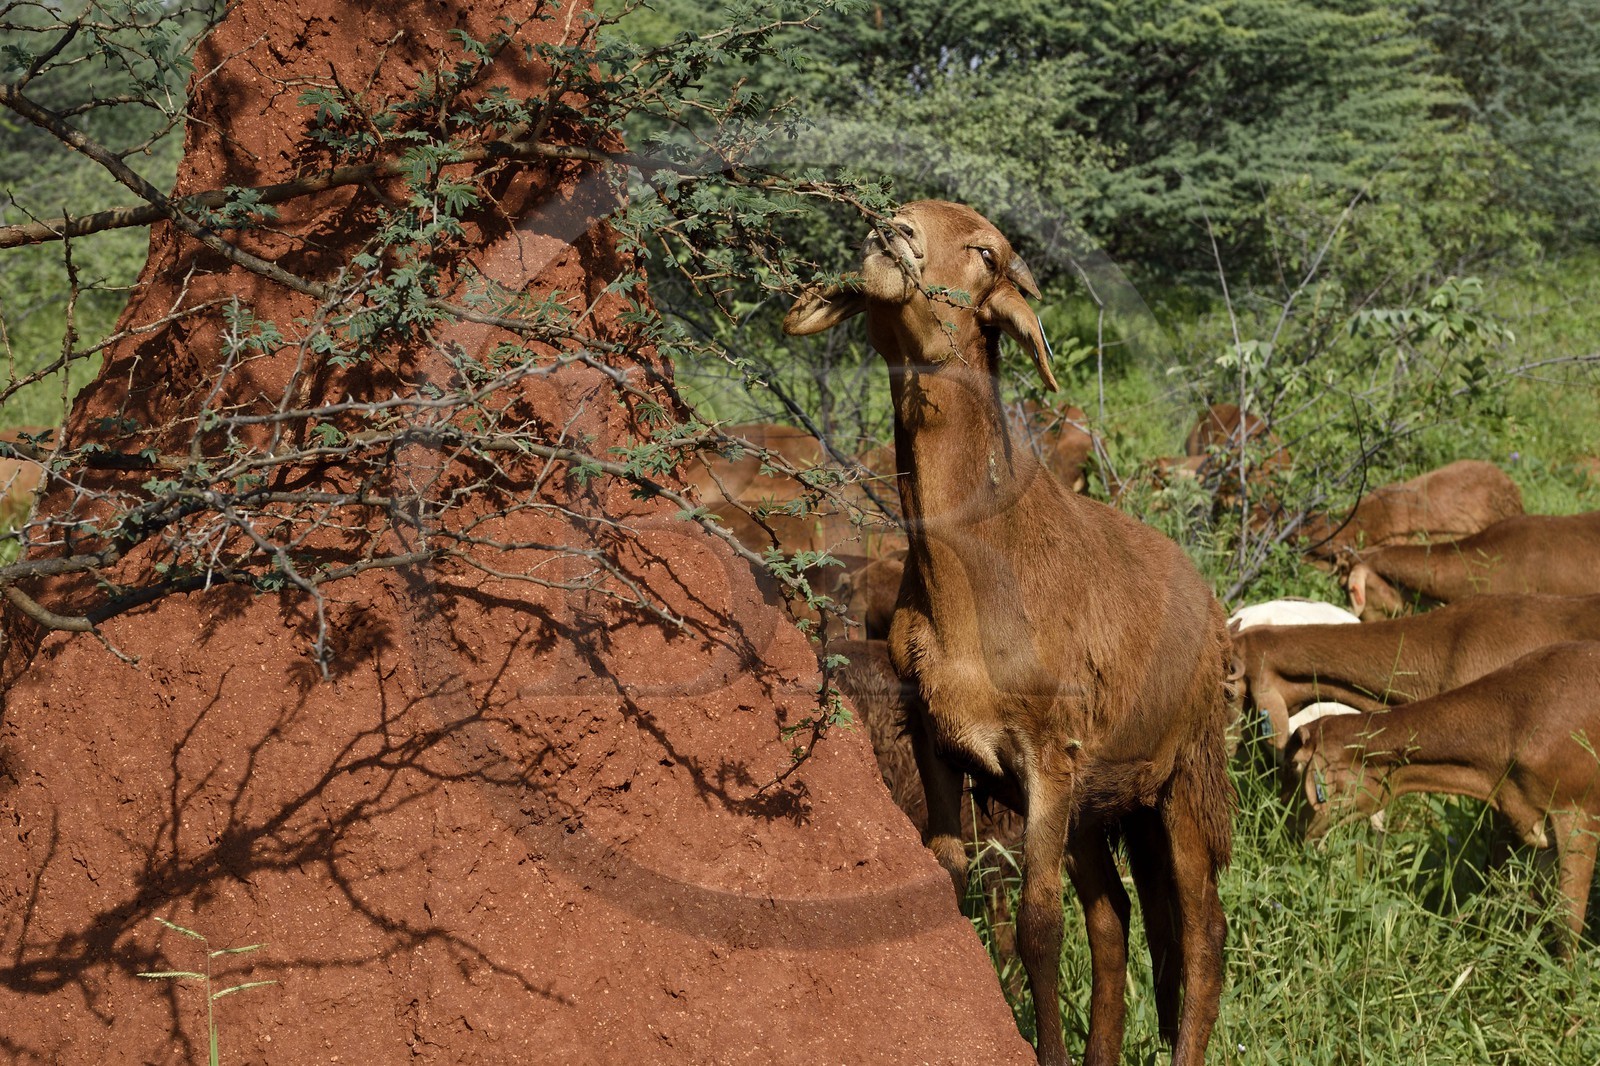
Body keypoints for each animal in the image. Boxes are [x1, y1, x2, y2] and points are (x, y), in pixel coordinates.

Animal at [785, 200, 1233, 1066]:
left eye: (988, 254)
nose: (891, 234)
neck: (976, 575)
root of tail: (1204, 590)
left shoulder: (1047, 763)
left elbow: (1037, 929)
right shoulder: (936, 737)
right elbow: (953, 880)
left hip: (1185, 780)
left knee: (1202, 938)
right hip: (1102, 802)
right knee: (1115, 922)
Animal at [1289, 641, 1600, 954]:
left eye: (1299, 771)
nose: (1294, 835)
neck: (1519, 717)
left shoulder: (1578, 815)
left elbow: (1567, 926)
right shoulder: (1536, 828)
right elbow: (1534, 912)